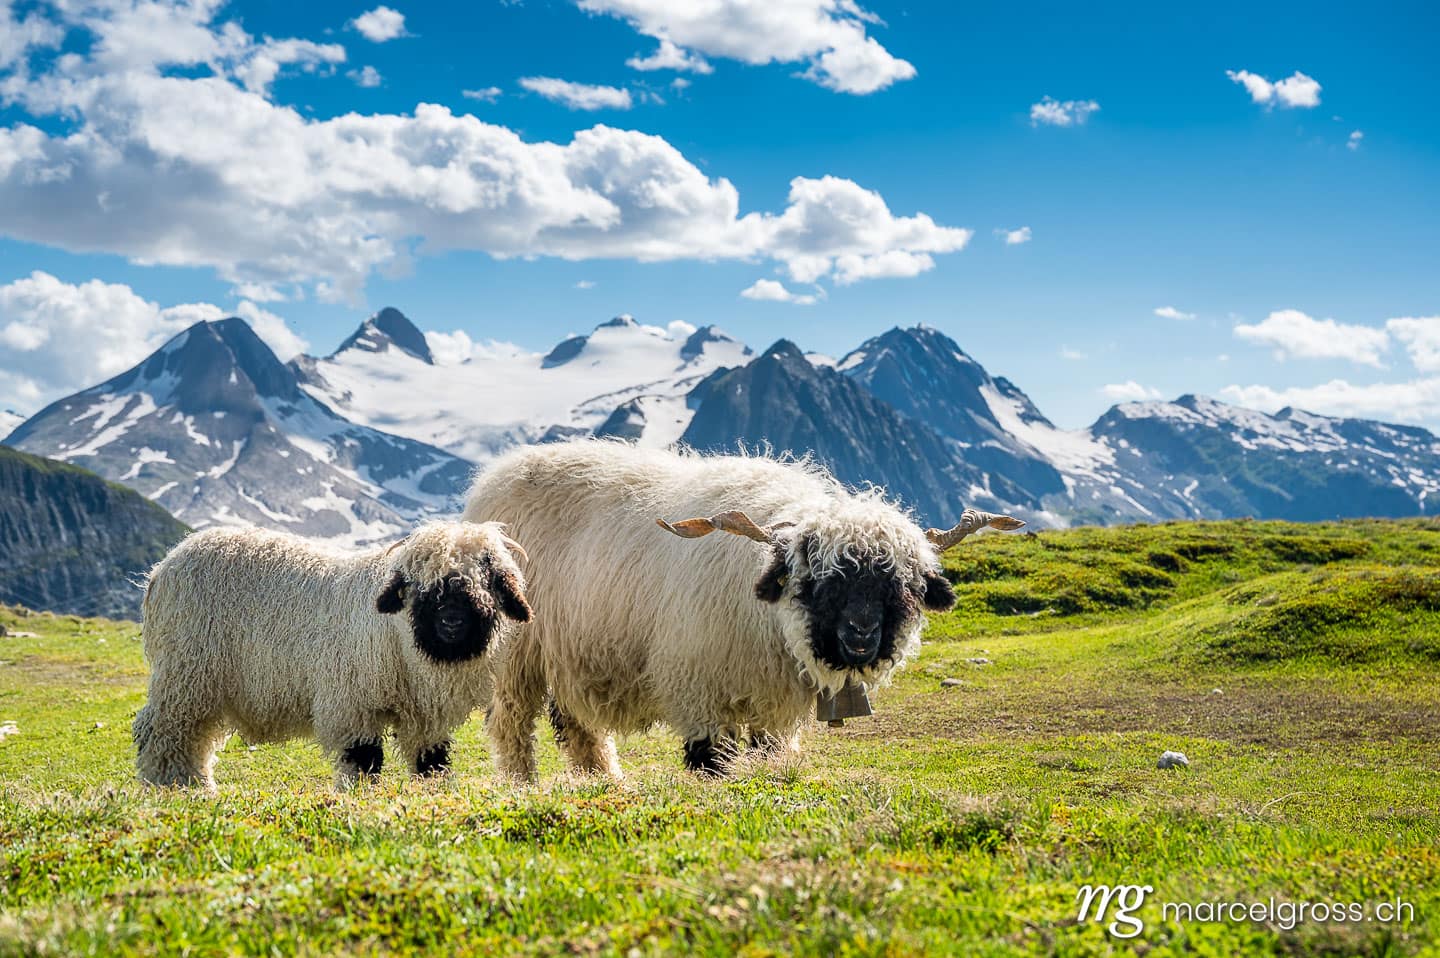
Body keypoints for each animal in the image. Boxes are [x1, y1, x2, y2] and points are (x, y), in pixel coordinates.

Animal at [133, 521, 532, 790]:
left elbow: (431, 760)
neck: (399, 637)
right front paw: (359, 795)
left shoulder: (424, 715)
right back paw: (177, 785)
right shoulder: (351, 703)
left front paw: (434, 791)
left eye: (487, 574)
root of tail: (162, 569)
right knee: (163, 729)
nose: (452, 620)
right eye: (421, 584)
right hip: (186, 672)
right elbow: (363, 758)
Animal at [461, 440, 1022, 781]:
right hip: (515, 652)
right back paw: (525, 786)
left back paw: (604, 781)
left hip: (569, 650)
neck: (770, 622)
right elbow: (712, 760)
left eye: (899, 586)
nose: (861, 636)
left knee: (577, 725)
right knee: (511, 725)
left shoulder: (772, 704)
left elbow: (766, 753)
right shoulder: (699, 688)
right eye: (817, 583)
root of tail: (495, 477)